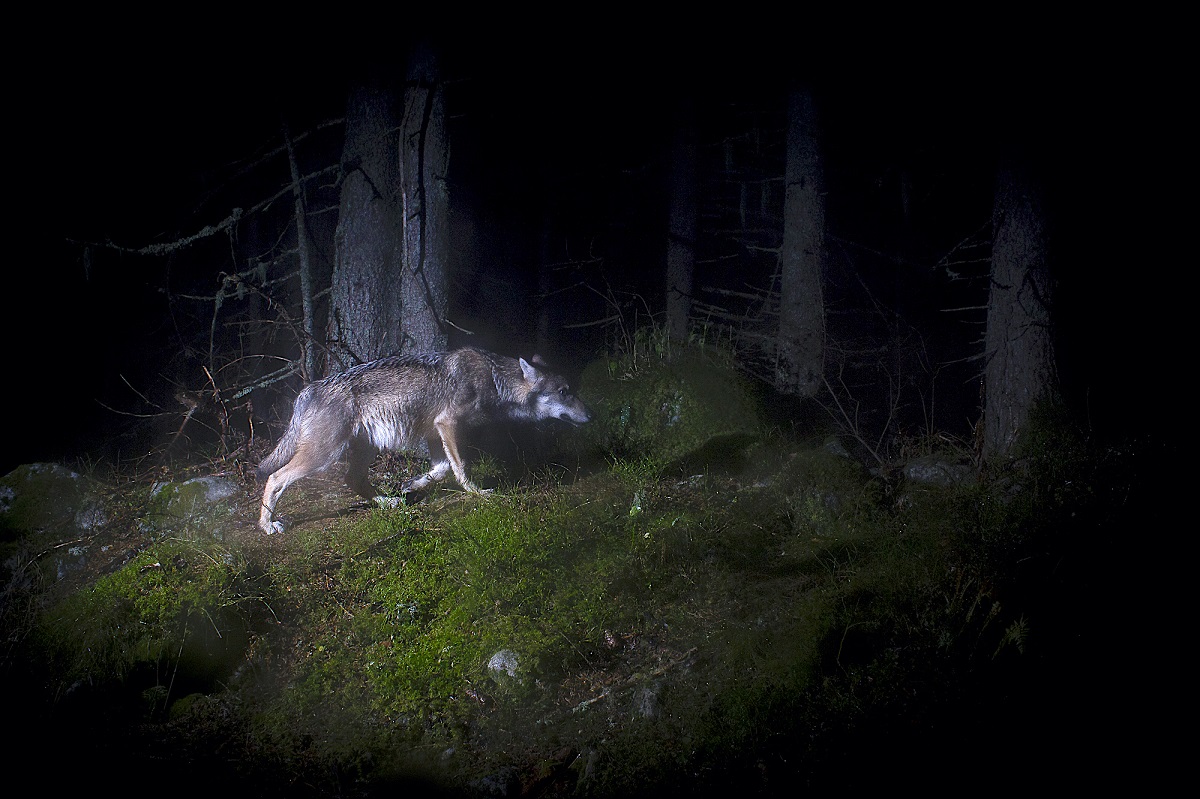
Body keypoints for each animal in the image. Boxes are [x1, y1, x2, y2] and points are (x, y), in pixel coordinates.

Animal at [254, 345, 590, 532]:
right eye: (564, 392)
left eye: (572, 389)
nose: (591, 415)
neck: (494, 378)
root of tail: (307, 390)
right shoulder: (448, 424)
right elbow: (461, 468)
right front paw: (479, 494)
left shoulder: (435, 432)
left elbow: (440, 470)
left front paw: (411, 486)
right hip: (324, 456)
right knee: (274, 477)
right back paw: (268, 525)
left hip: (364, 449)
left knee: (353, 480)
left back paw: (387, 502)